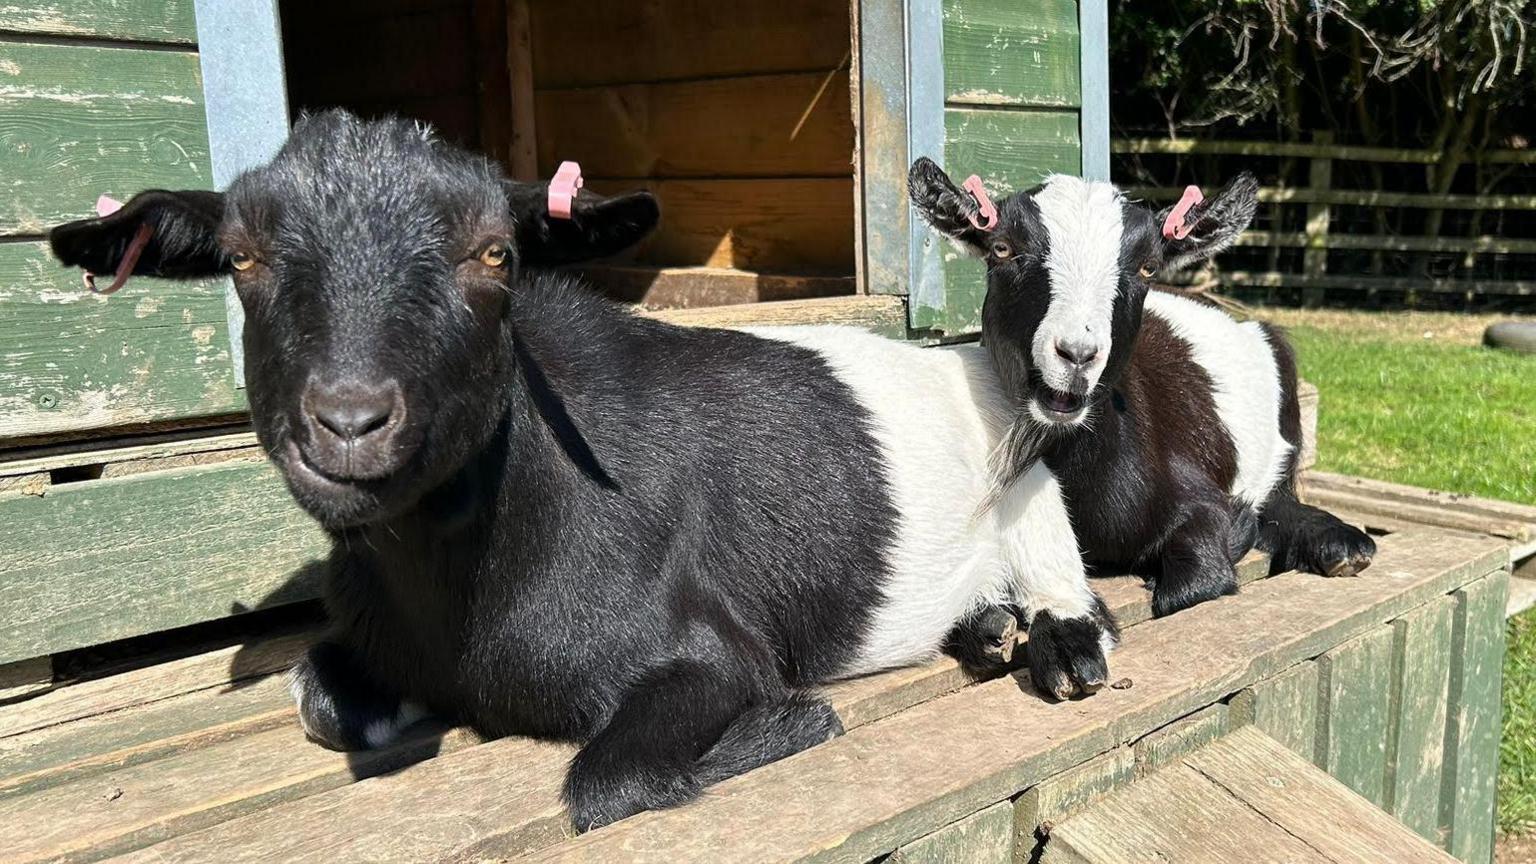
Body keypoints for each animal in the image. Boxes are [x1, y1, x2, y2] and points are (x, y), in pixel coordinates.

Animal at [48, 110, 1118, 830]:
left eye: (494, 254)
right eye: (240, 257)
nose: (348, 423)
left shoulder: (708, 651)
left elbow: (605, 783)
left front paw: (789, 727)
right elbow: (316, 698)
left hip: (1031, 493)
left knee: (1077, 596)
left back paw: (1052, 640)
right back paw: (984, 627)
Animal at [903, 158, 1376, 624]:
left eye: (1147, 266)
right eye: (1002, 249)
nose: (1077, 354)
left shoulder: (1201, 503)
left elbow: (1192, 584)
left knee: (1280, 489)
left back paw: (1342, 545)